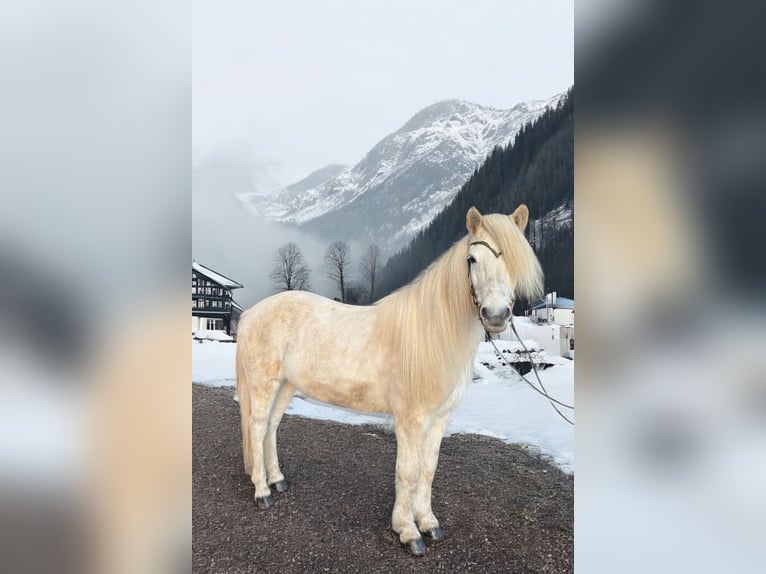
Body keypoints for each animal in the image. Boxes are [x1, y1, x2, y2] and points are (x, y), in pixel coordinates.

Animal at [237, 207, 544, 560]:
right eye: (472, 259)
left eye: (516, 260)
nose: (495, 316)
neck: (433, 334)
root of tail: (251, 314)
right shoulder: (411, 421)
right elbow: (407, 471)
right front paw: (408, 532)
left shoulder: (440, 420)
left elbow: (428, 469)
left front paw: (429, 523)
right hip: (264, 385)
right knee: (258, 427)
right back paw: (262, 491)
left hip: (286, 386)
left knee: (272, 428)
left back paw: (277, 480)